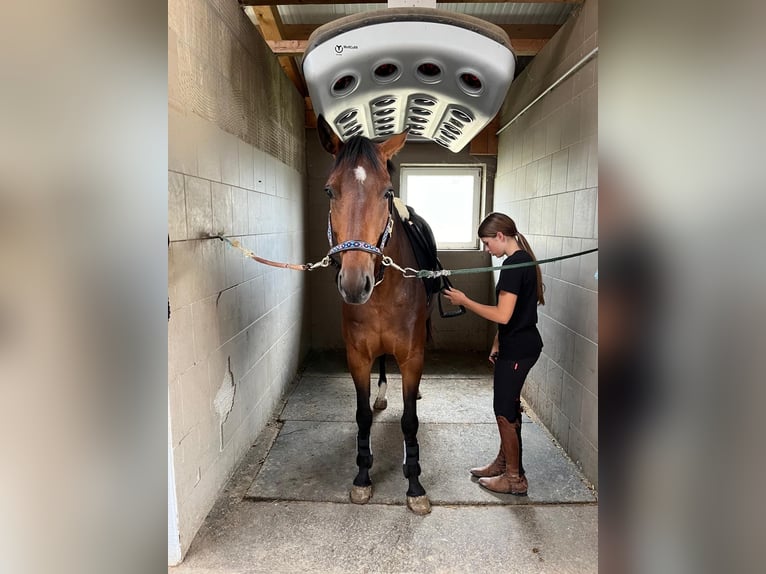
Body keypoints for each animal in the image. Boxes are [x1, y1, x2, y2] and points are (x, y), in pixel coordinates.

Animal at [318, 115, 436, 516]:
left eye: (386, 193)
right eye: (329, 191)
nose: (356, 283)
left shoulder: (413, 356)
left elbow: (409, 422)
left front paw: (414, 484)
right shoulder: (357, 356)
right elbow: (363, 416)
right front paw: (362, 477)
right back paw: (383, 394)